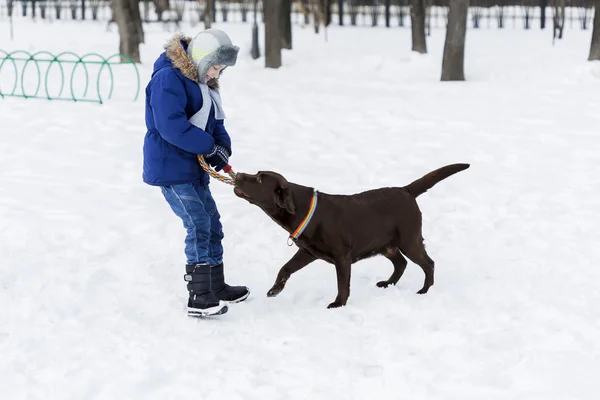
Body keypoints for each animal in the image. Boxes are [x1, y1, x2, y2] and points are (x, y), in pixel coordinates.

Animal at [232, 162, 472, 310]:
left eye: (260, 180)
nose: (239, 174)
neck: (306, 210)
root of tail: (406, 190)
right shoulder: (308, 252)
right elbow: (285, 268)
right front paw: (275, 290)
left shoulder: (341, 257)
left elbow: (342, 284)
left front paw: (338, 304)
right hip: (385, 245)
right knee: (401, 263)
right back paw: (388, 284)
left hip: (408, 240)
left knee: (428, 263)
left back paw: (424, 290)